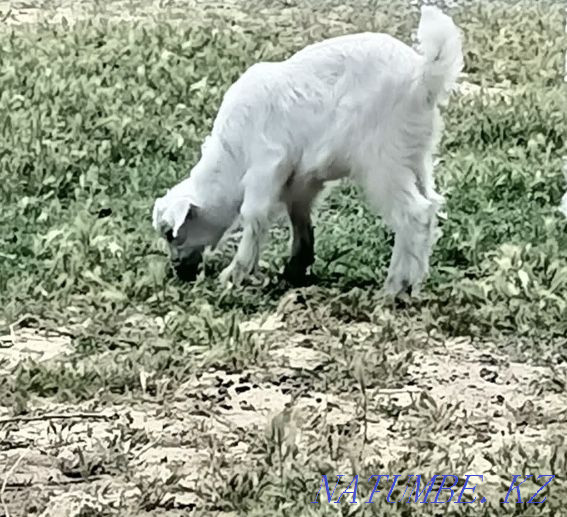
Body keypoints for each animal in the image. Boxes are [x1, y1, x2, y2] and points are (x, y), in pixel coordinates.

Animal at [153, 6, 464, 294]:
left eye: (170, 234)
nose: (177, 269)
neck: (231, 154)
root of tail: (424, 76)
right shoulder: (302, 180)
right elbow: (300, 218)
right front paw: (295, 267)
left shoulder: (268, 164)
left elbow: (253, 214)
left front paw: (235, 273)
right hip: (415, 156)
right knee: (430, 206)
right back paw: (413, 282)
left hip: (383, 162)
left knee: (414, 213)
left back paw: (394, 287)